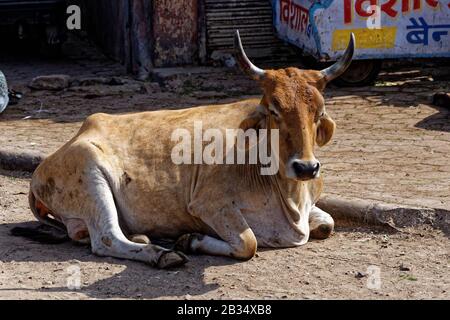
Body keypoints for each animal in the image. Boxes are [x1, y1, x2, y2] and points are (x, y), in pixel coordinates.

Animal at [27, 31, 356, 268]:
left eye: (319, 112)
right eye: (273, 109)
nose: (306, 167)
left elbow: (327, 224)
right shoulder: (208, 204)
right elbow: (248, 243)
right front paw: (191, 240)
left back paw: (144, 236)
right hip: (90, 172)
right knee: (106, 238)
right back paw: (161, 254)